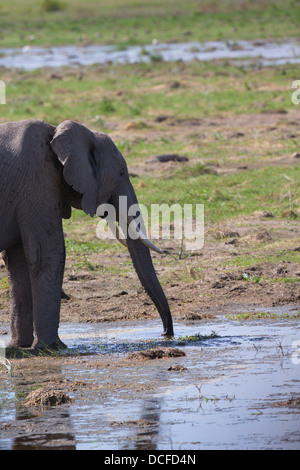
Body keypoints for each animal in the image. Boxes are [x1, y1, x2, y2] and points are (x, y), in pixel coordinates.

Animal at [0, 119, 175, 350]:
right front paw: (52, 347)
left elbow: (18, 262)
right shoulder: (37, 182)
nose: (166, 333)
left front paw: (20, 347)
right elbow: (48, 253)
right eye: (121, 174)